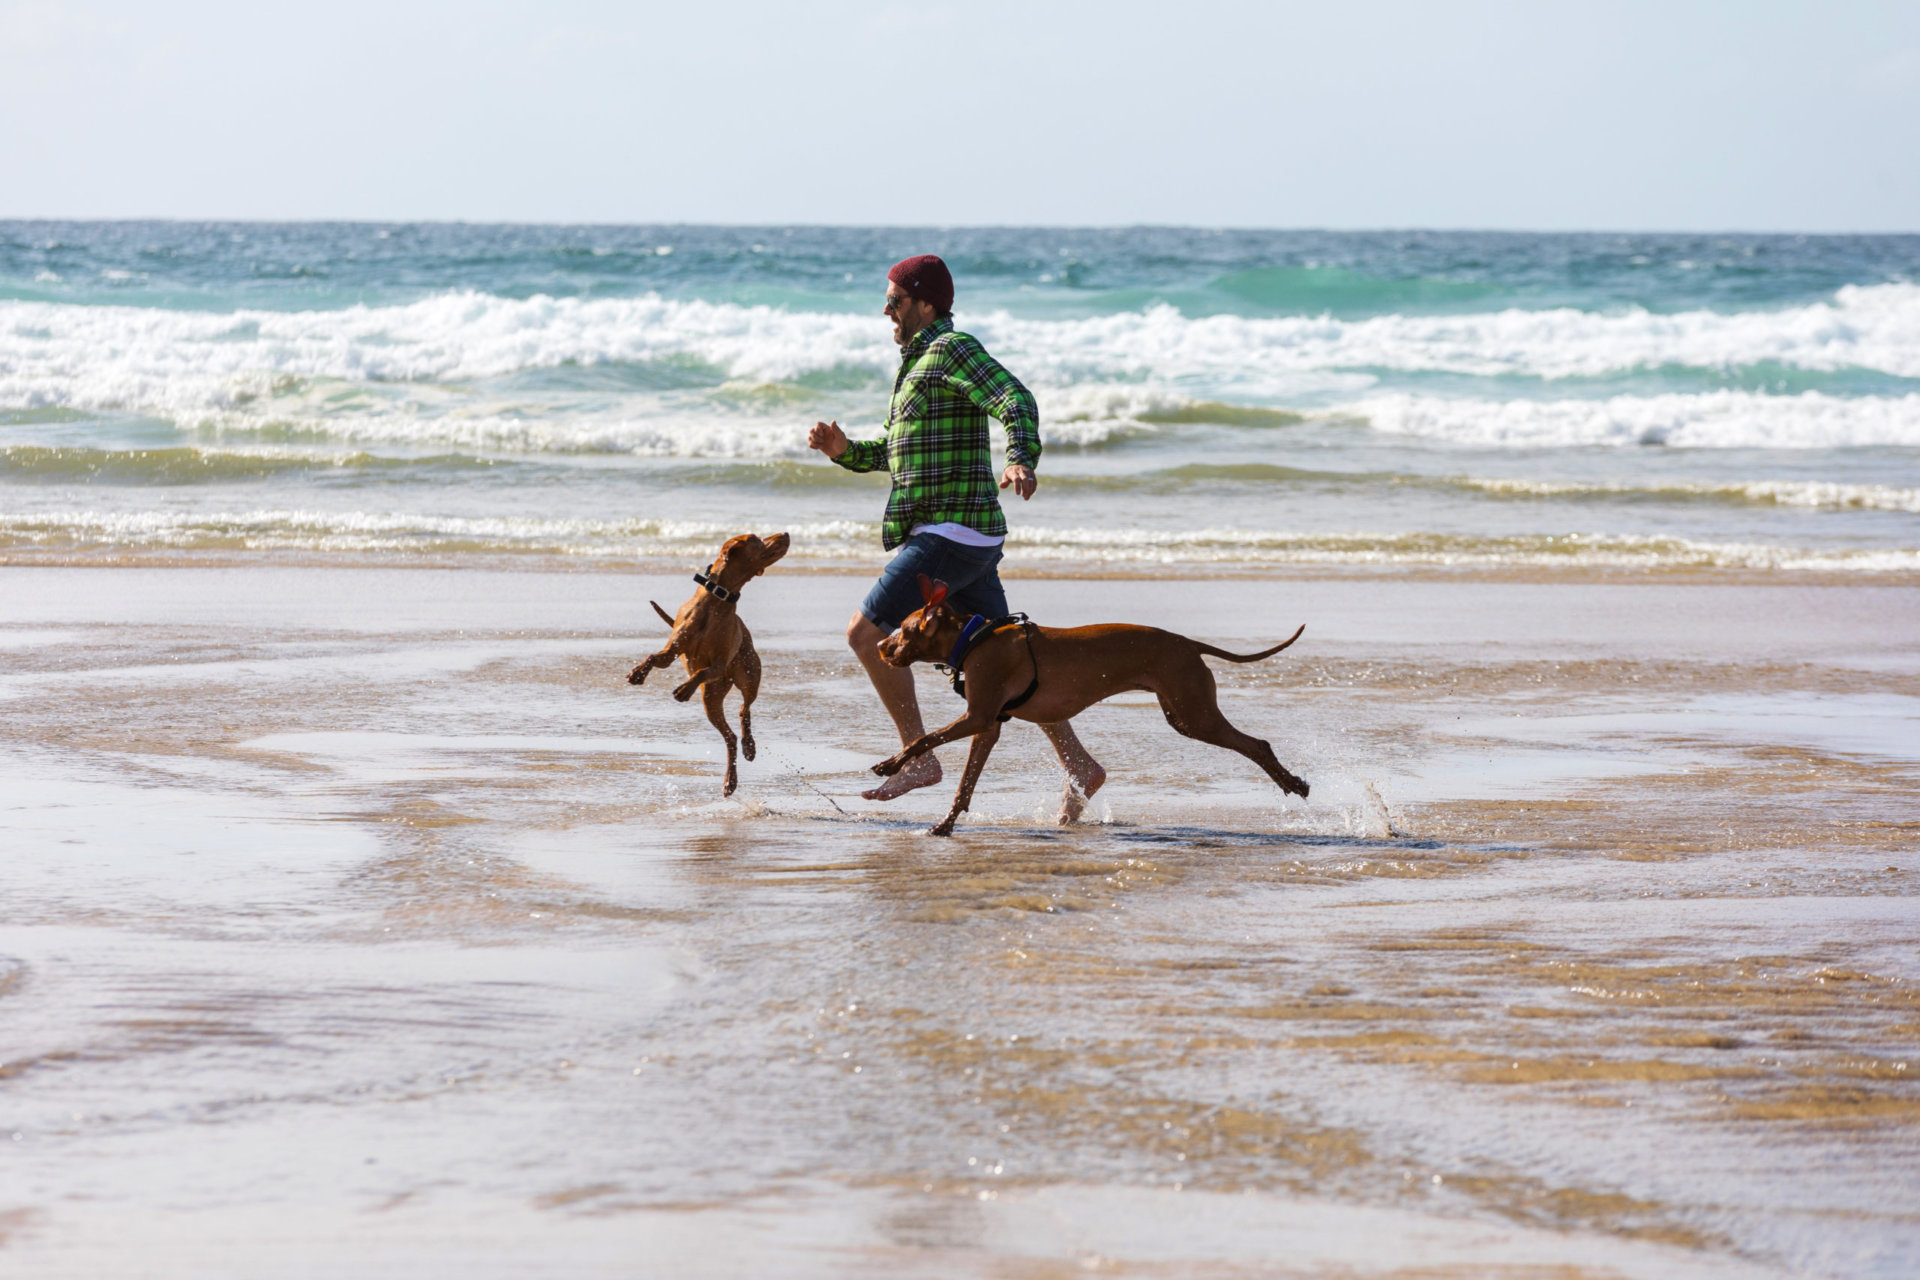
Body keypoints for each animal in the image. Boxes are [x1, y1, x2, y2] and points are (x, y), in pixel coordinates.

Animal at [622, 529, 787, 790]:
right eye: (756, 538)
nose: (786, 533)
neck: (717, 600)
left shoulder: (719, 664)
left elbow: (702, 671)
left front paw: (684, 690)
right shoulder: (672, 651)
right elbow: (655, 657)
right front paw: (638, 673)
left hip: (748, 676)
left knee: (744, 709)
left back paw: (749, 747)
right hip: (711, 698)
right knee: (730, 737)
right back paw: (730, 779)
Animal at [871, 575, 1305, 836]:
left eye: (903, 629)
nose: (879, 646)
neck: (973, 639)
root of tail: (1187, 642)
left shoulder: (975, 716)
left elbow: (923, 740)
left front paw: (890, 765)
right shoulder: (987, 726)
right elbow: (964, 786)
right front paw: (945, 825)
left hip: (1195, 714)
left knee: (1257, 745)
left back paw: (1293, 783)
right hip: (1182, 714)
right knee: (1252, 744)